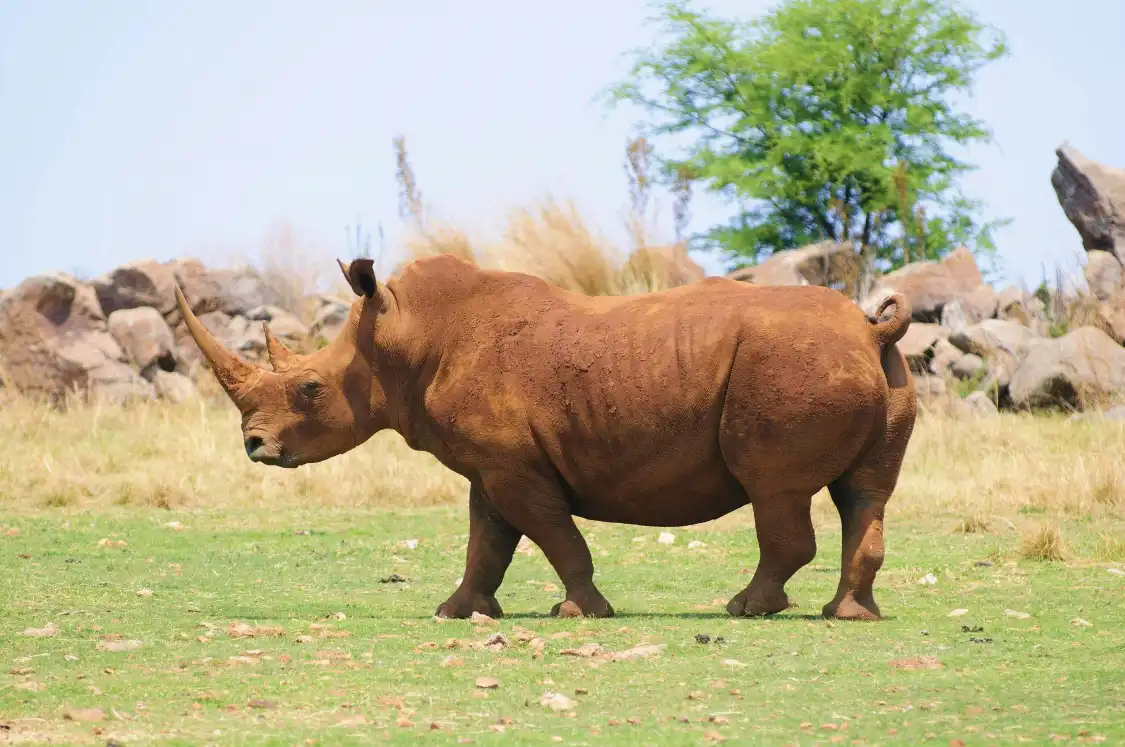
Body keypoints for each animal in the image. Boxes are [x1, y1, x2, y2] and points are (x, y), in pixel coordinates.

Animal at [176, 254, 916, 621]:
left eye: (310, 389)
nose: (254, 445)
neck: (403, 337)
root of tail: (871, 328)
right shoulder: (490, 465)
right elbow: (487, 542)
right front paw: (458, 613)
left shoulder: (513, 465)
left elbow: (554, 537)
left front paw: (580, 612)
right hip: (871, 370)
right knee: (865, 495)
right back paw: (849, 615)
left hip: (790, 365)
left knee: (775, 491)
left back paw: (744, 610)